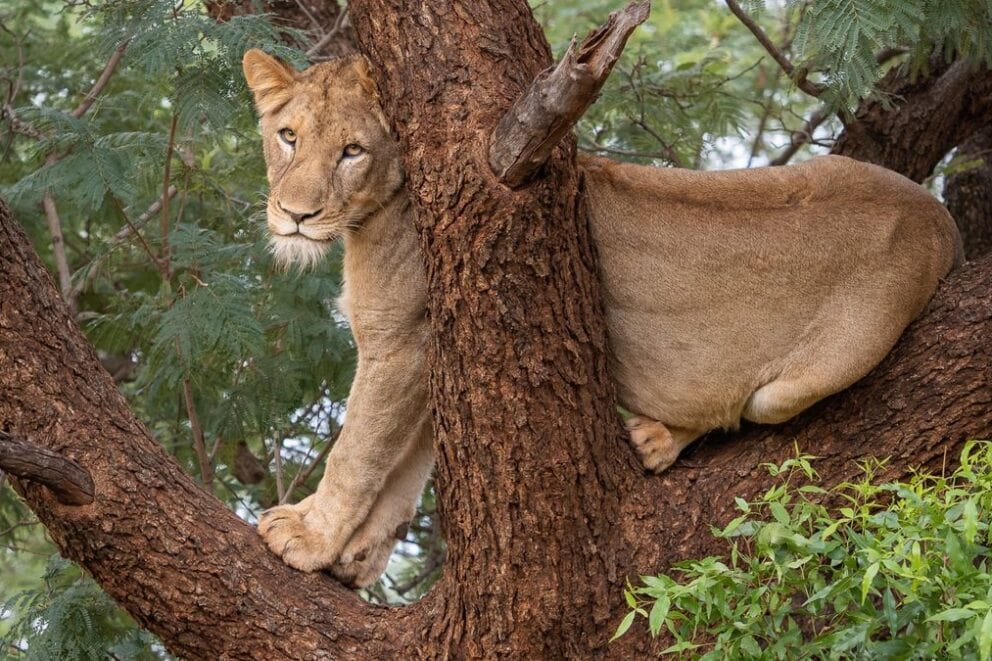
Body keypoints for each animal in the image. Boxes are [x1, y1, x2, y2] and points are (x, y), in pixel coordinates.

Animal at [242, 49, 962, 587]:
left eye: (351, 151)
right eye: (288, 137)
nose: (297, 215)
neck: (377, 207)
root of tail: (940, 217)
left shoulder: (400, 341)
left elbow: (359, 451)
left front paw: (308, 536)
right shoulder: (431, 346)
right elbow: (405, 466)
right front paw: (355, 558)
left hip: (795, 383)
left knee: (741, 407)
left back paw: (656, 438)